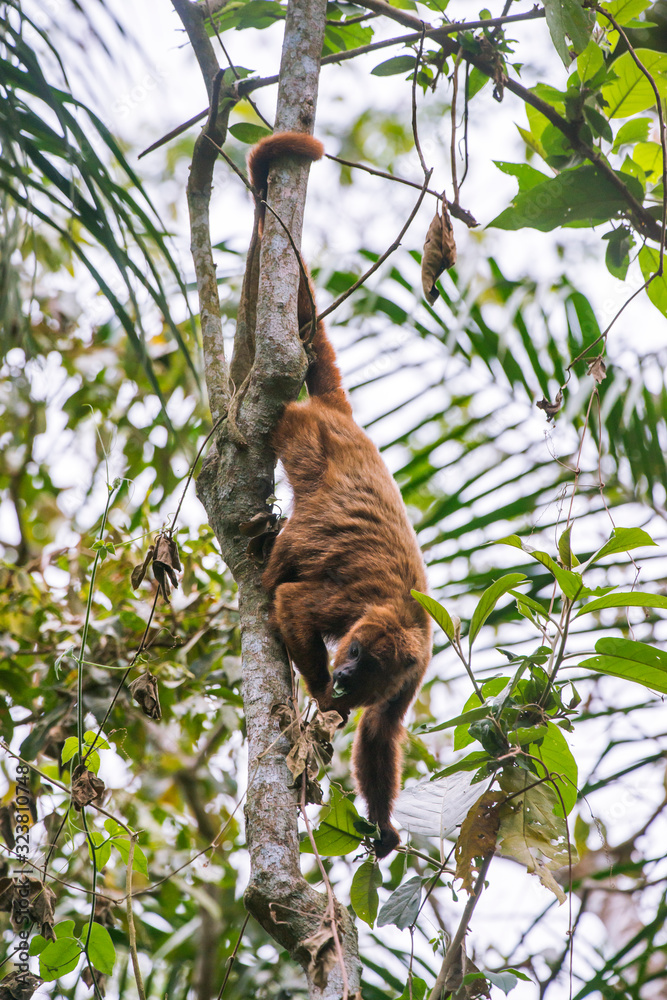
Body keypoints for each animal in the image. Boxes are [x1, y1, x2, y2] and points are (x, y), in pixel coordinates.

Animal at [249, 132, 432, 858]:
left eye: (370, 667)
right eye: (350, 655)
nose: (346, 677)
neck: (396, 619)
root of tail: (343, 419)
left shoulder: (414, 671)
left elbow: (380, 731)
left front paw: (383, 825)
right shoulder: (352, 607)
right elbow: (296, 603)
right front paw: (323, 698)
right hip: (303, 431)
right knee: (292, 538)